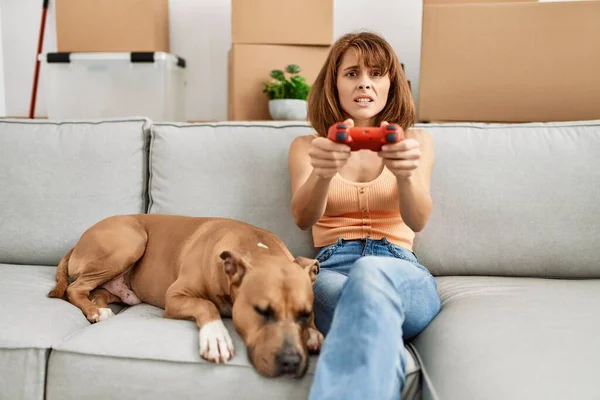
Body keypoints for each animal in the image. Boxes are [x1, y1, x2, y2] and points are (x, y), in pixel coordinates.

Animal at [48, 214, 324, 376]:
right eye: (261, 311)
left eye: (305, 313)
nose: (291, 361)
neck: (256, 248)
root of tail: (78, 242)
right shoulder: (176, 297)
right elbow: (206, 306)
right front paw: (216, 337)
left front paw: (313, 334)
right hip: (131, 241)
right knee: (75, 288)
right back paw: (93, 310)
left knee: (97, 292)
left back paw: (99, 309)